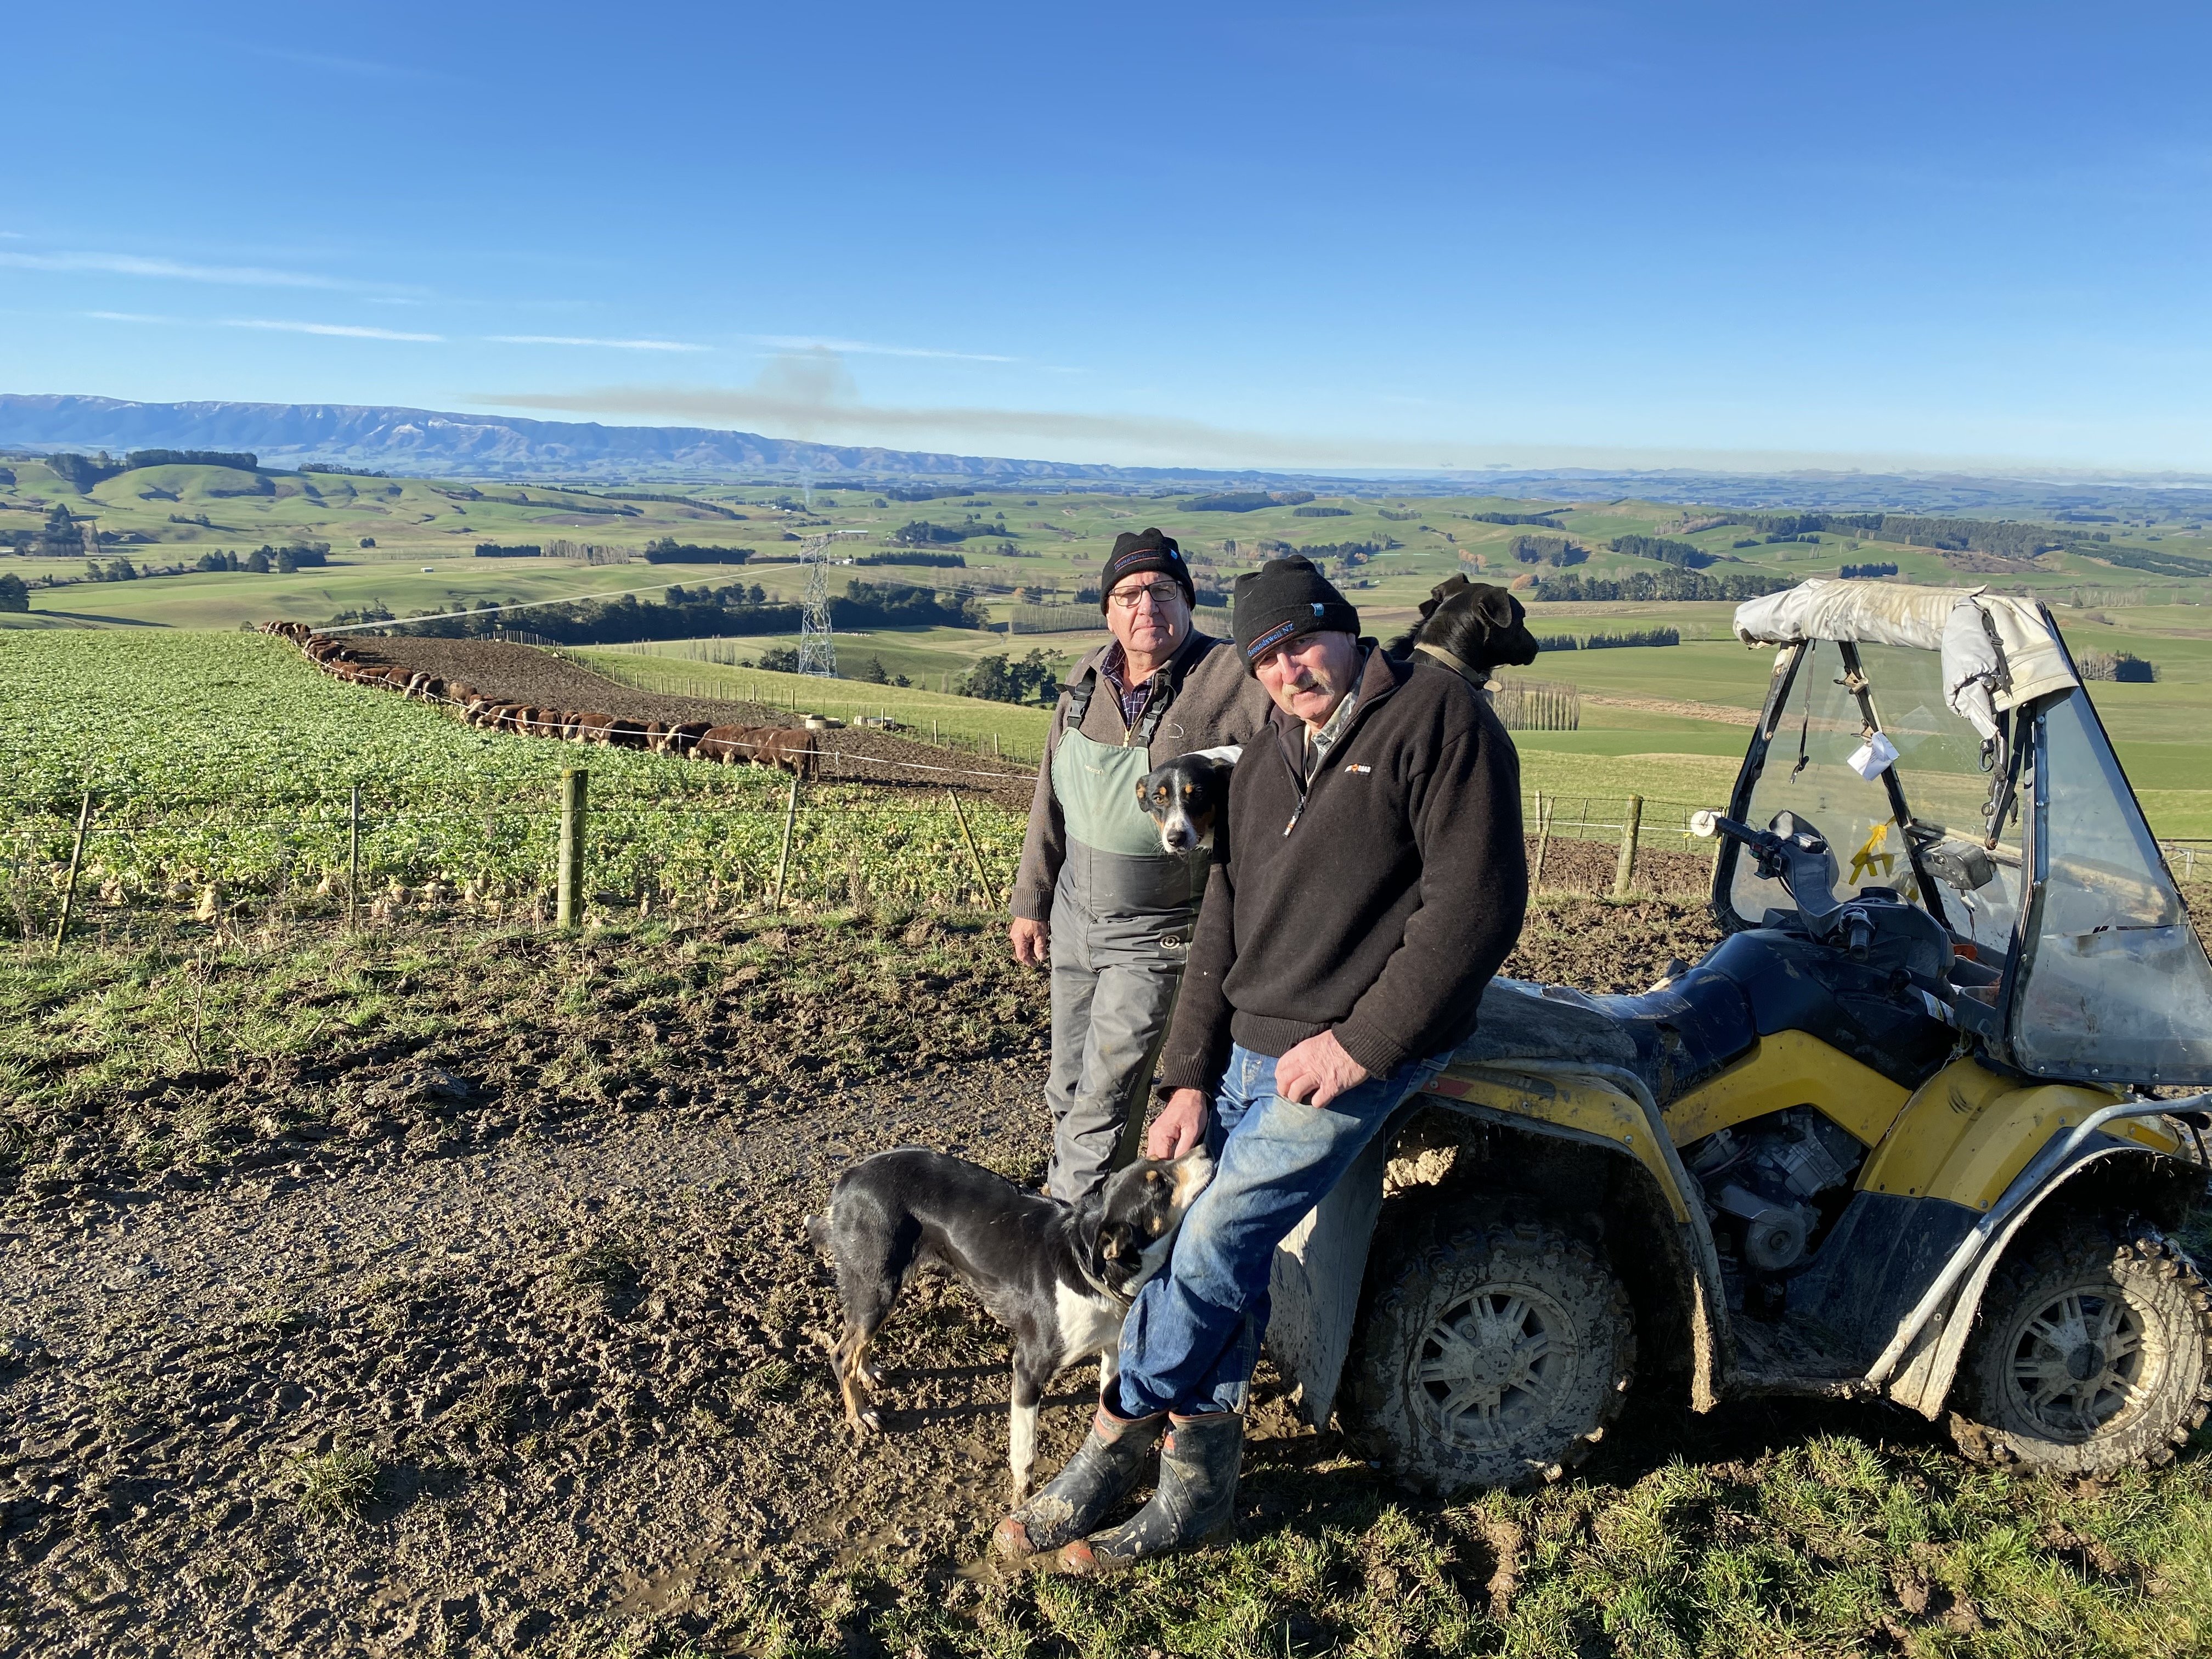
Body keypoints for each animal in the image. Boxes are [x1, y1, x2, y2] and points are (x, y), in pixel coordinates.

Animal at [805, 1150, 1212, 1504]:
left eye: (1162, 1160)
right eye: (1159, 1185)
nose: (1207, 1149)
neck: (1089, 1268)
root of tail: (848, 1178)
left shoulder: (1112, 1352)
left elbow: (1106, 1411)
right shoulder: (1028, 1368)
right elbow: (1025, 1450)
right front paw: (1022, 1500)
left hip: (878, 1289)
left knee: (856, 1343)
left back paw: (867, 1371)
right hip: (878, 1286)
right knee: (841, 1353)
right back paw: (859, 1415)